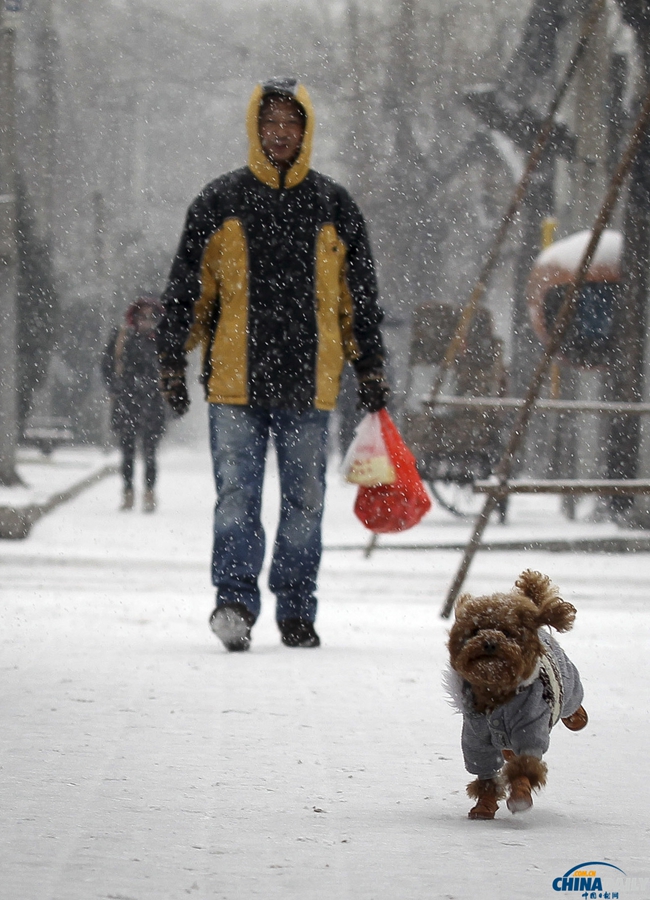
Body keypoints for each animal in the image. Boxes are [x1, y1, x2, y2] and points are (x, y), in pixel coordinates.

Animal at [446, 572, 588, 820]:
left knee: (573, 702)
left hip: (569, 682)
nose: (489, 641)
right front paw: (484, 805)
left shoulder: (529, 727)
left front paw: (520, 796)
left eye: (507, 632)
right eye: (475, 631)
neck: (497, 693)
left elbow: (525, 765)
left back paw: (577, 718)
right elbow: (485, 770)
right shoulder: (475, 736)